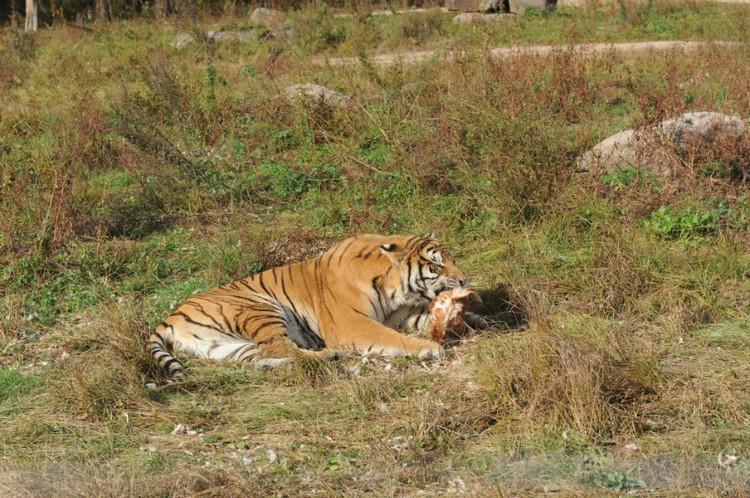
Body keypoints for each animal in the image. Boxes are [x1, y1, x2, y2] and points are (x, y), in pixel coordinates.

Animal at [146, 233, 488, 390]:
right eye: (437, 264)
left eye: (452, 258)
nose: (464, 280)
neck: (396, 291)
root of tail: (170, 317)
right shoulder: (351, 324)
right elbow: (391, 338)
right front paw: (429, 347)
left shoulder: (402, 314)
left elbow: (428, 318)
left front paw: (475, 321)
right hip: (259, 306)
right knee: (280, 347)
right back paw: (330, 355)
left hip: (228, 347)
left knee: (261, 359)